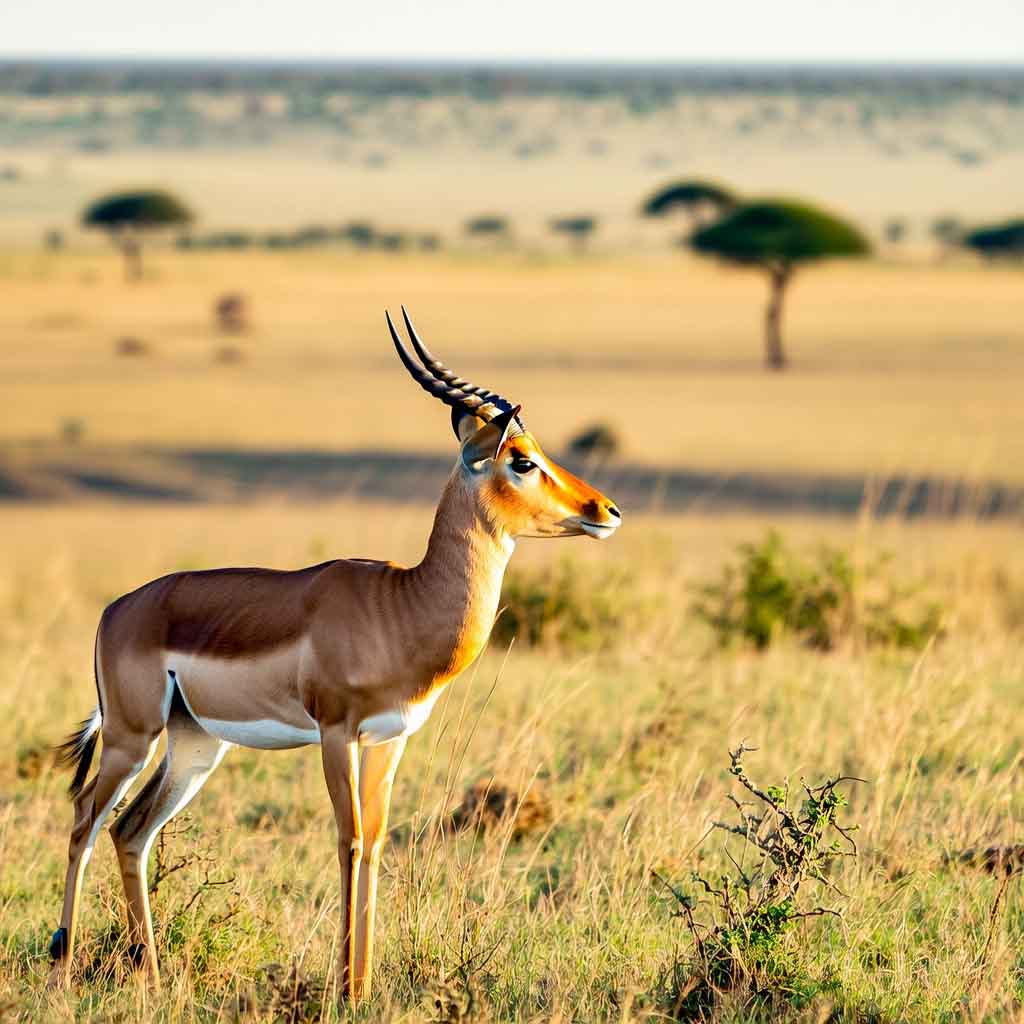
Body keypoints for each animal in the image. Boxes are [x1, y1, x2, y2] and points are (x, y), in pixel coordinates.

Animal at [48, 307, 618, 1003]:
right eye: (523, 460)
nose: (605, 510)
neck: (400, 604)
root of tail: (115, 610)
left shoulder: (388, 740)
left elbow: (373, 843)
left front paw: (364, 985)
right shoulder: (335, 732)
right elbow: (347, 840)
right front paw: (344, 987)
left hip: (195, 744)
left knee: (130, 831)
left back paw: (151, 976)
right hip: (133, 736)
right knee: (84, 820)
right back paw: (63, 961)